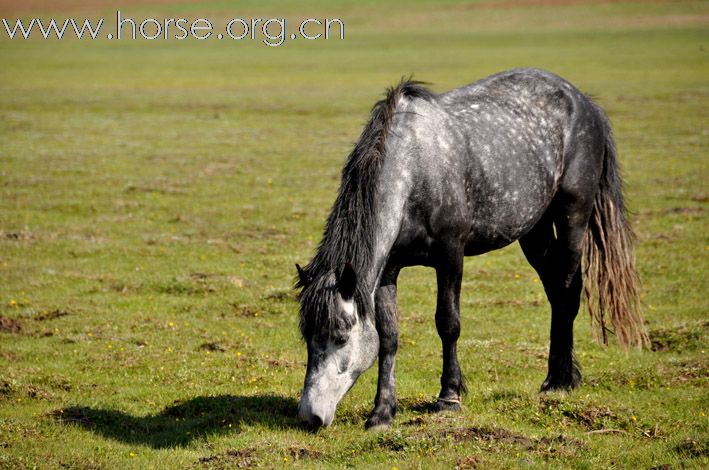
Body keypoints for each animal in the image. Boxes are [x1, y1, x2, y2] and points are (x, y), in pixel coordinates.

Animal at [294, 68, 648, 432]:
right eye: (307, 337)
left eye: (341, 337)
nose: (310, 415)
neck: (414, 170)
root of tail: (585, 102)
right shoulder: (387, 271)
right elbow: (388, 337)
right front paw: (382, 412)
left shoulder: (451, 256)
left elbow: (448, 323)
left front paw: (449, 396)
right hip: (533, 231)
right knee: (555, 290)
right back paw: (557, 377)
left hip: (572, 217)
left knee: (567, 289)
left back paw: (560, 380)